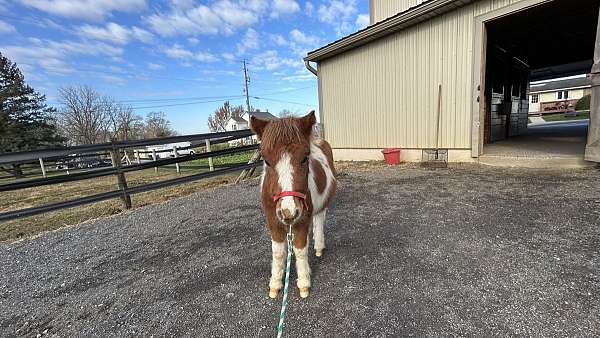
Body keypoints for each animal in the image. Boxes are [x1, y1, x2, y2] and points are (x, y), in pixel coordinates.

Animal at [250, 111, 338, 298]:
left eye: (305, 158)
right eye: (266, 161)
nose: (288, 211)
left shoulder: (301, 221)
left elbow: (300, 249)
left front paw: (304, 283)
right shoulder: (273, 222)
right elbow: (278, 252)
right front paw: (275, 284)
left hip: (321, 206)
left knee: (319, 221)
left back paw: (318, 247)